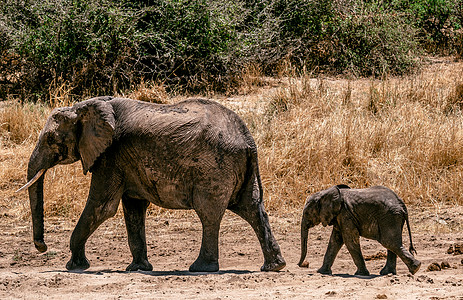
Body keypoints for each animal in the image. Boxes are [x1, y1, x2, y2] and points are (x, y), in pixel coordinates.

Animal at [20, 97, 286, 274]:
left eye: (50, 139)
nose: (42, 247)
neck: (83, 107)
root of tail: (248, 138)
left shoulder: (110, 156)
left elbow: (102, 207)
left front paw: (74, 267)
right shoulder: (125, 162)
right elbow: (133, 209)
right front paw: (137, 269)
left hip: (215, 167)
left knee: (209, 214)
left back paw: (200, 268)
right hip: (238, 167)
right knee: (253, 208)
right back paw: (274, 266)